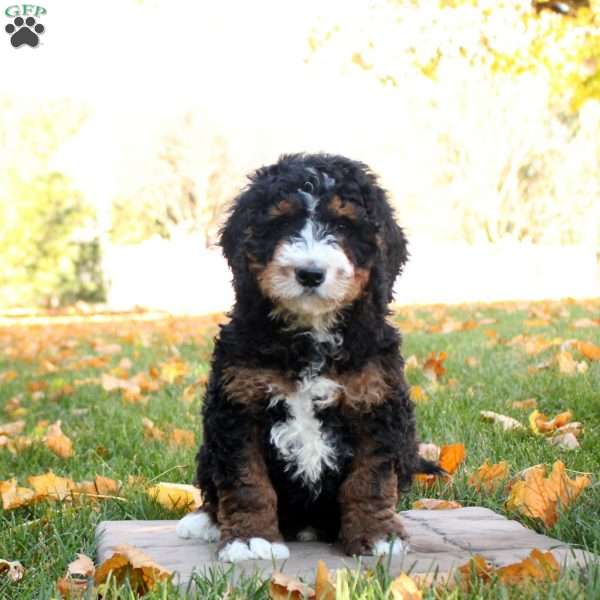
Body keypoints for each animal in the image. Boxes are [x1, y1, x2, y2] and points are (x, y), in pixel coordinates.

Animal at [176, 151, 438, 564]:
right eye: (282, 222)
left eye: (344, 225)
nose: (310, 273)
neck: (310, 335)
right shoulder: (238, 403)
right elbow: (246, 480)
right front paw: (250, 539)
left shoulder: (376, 401)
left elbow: (371, 479)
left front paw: (376, 535)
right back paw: (203, 522)